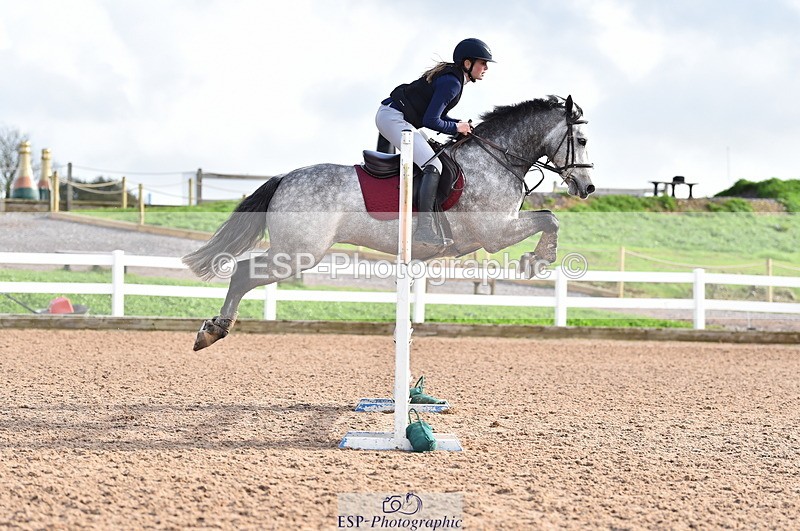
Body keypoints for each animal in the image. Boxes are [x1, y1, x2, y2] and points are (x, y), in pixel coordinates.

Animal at [183, 95, 595, 350]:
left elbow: (548, 218)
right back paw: (214, 331)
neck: (496, 159)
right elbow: (550, 219)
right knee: (243, 273)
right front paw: (537, 260)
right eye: (583, 140)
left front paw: (537, 259)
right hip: (300, 253)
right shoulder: (496, 233)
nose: (588, 187)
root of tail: (285, 178)